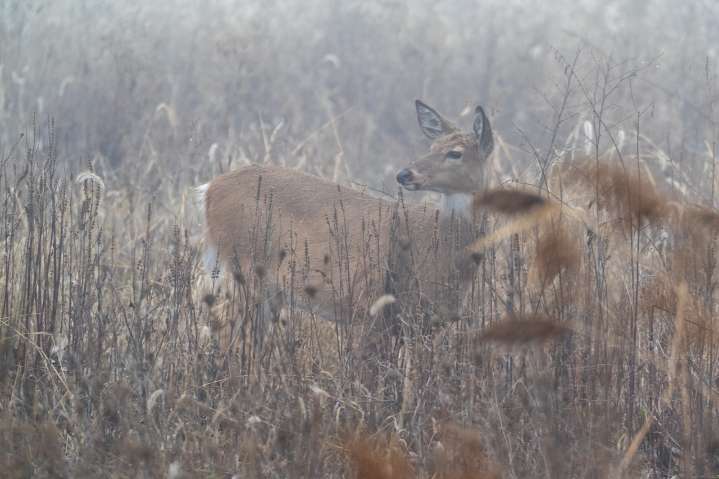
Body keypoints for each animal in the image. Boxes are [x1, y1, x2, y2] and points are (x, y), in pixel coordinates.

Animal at [196, 100, 494, 326]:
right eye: (431, 147)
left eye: (455, 153)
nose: (404, 174)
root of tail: (209, 189)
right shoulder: (368, 309)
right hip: (241, 269)